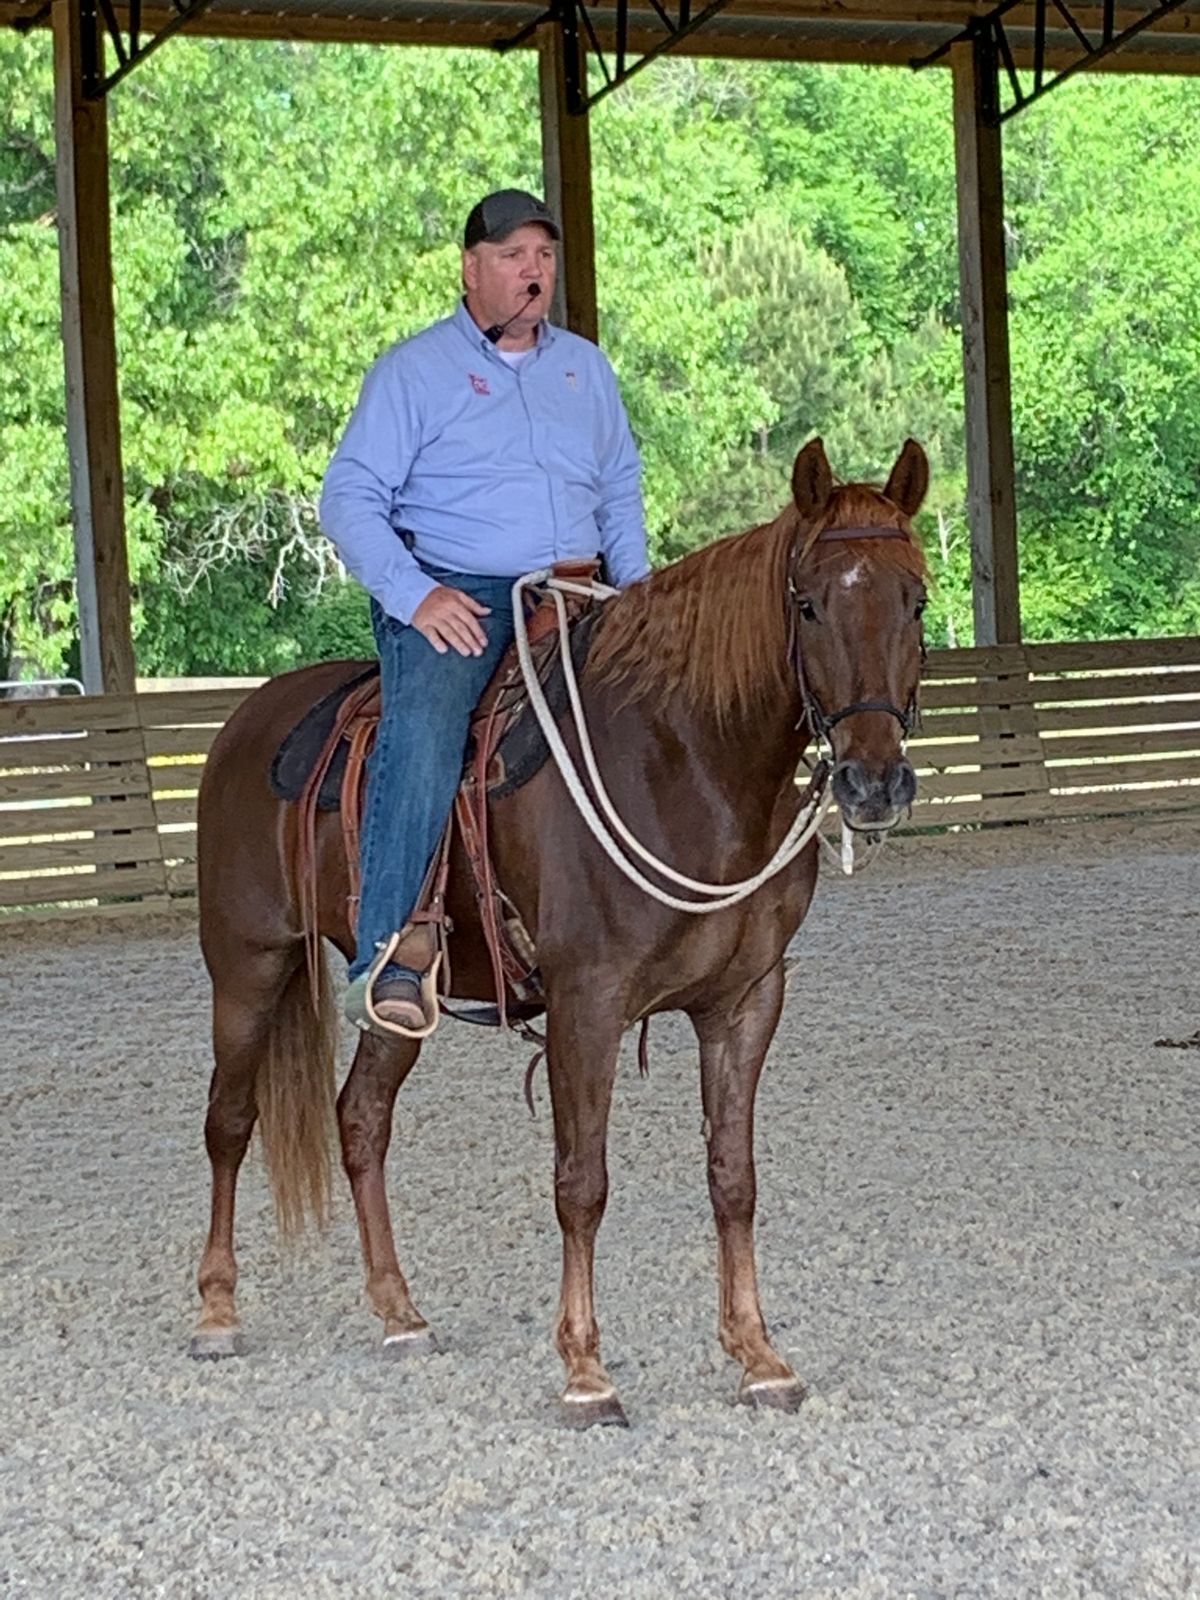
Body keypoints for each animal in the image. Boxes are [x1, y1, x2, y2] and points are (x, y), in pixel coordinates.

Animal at [192, 438, 934, 1427]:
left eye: (915, 600)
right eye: (809, 604)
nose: (873, 782)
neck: (688, 764)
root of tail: (248, 715)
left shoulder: (746, 1002)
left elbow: (733, 1179)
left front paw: (758, 1356)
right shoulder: (589, 1003)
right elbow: (581, 1184)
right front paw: (586, 1370)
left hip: (397, 1000)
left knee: (361, 1119)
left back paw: (398, 1312)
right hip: (247, 965)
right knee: (230, 1122)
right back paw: (217, 1311)